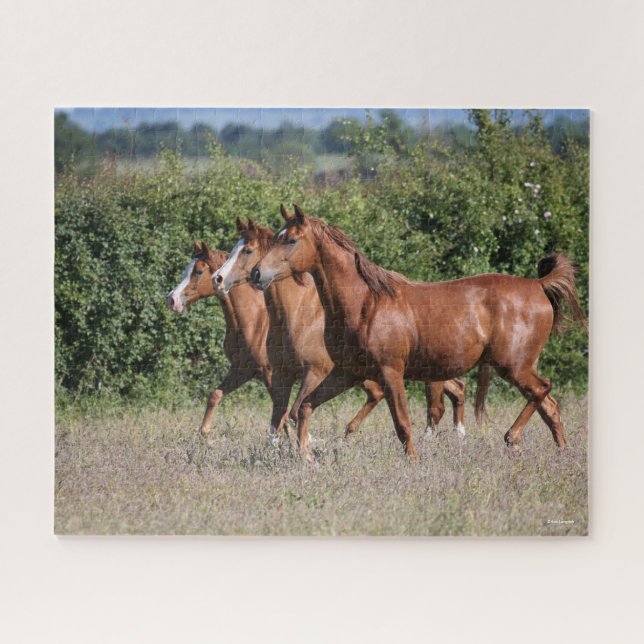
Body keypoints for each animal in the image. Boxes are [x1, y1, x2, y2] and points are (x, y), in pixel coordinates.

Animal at [251, 204, 587, 459]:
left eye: (291, 240)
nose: (256, 273)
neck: (366, 304)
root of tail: (538, 286)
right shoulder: (347, 373)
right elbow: (303, 408)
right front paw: (307, 459)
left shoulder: (391, 373)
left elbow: (402, 425)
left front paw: (412, 464)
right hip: (520, 366)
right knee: (550, 406)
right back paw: (561, 453)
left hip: (513, 366)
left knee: (543, 390)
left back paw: (512, 438)